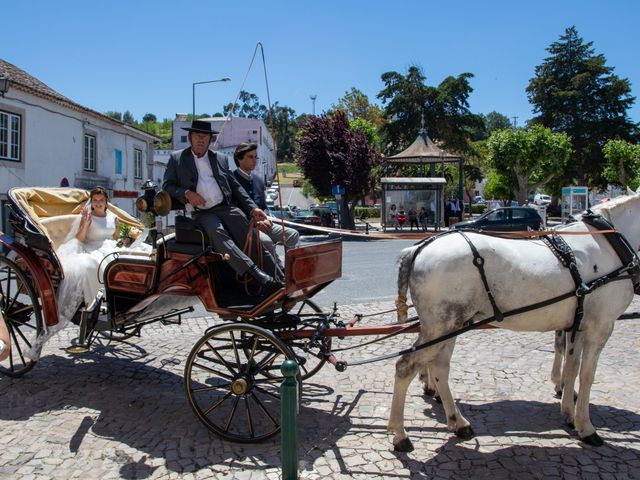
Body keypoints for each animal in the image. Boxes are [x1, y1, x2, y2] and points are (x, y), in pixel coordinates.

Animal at [388, 193, 640, 452]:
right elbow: (587, 376)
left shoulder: (578, 325)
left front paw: (569, 413)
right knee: (405, 367)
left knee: (439, 367)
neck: (608, 245)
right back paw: (400, 434)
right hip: (442, 326)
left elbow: (572, 368)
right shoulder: (600, 327)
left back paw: (458, 422)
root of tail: (419, 248)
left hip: (452, 325)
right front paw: (586, 427)